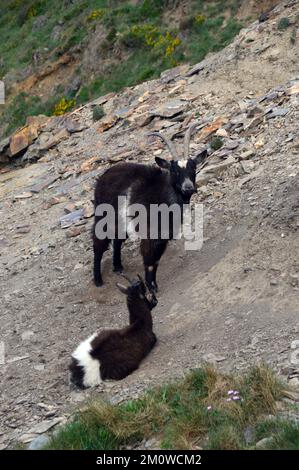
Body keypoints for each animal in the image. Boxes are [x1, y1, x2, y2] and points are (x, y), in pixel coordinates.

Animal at [94, 120, 209, 290]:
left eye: (193, 168)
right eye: (174, 171)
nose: (188, 187)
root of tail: (103, 178)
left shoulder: (163, 235)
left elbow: (155, 261)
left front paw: (153, 284)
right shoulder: (149, 233)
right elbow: (149, 260)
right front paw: (151, 287)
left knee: (117, 239)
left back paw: (118, 267)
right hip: (103, 216)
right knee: (98, 244)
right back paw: (98, 280)